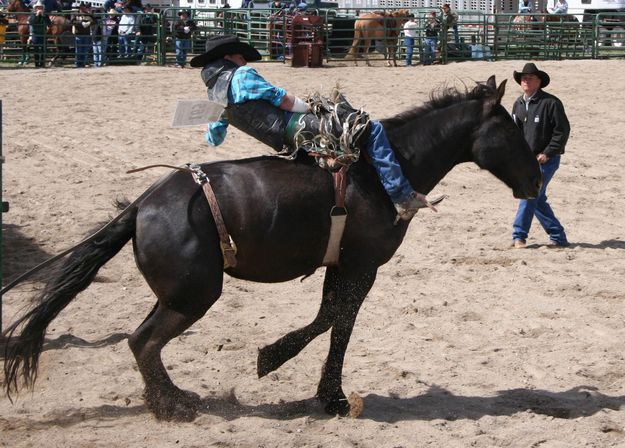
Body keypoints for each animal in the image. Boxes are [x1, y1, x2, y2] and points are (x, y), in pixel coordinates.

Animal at [2, 76, 540, 420]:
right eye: (510, 129)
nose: (537, 181)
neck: (386, 169)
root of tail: (139, 206)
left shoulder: (341, 265)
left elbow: (332, 320)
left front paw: (320, 389)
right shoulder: (362, 265)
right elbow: (337, 321)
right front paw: (302, 378)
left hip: (177, 293)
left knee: (141, 340)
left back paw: (171, 401)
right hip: (194, 295)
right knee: (144, 341)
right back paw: (175, 407)